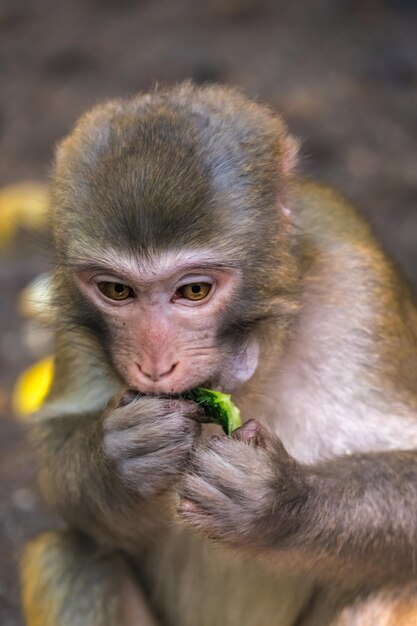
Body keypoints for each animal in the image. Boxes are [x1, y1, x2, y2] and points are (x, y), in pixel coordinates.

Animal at [20, 80, 417, 620]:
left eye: (194, 291)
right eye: (116, 291)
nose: (155, 365)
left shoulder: (359, 284)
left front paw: (276, 501)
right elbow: (55, 438)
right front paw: (121, 457)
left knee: (393, 581)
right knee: (71, 552)